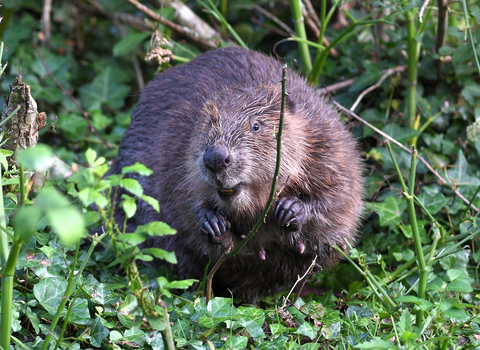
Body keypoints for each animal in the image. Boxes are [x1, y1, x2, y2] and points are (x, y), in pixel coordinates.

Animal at [110, 47, 362, 304]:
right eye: (208, 123)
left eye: (256, 126)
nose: (215, 158)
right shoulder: (178, 158)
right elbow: (188, 206)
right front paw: (213, 224)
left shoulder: (325, 141)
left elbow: (340, 195)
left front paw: (291, 209)